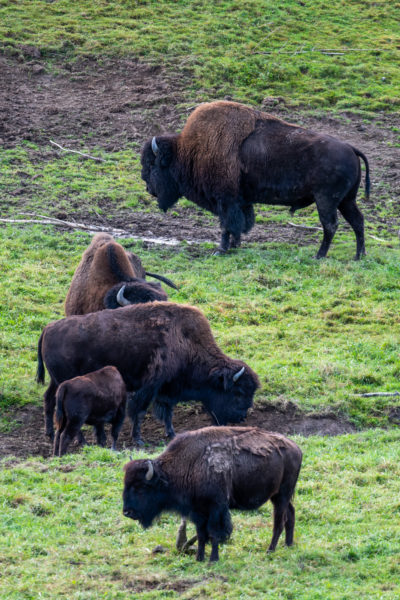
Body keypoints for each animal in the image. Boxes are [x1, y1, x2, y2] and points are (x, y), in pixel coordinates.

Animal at [36, 302, 260, 442]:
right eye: (238, 392)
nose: (241, 418)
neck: (185, 340)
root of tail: (48, 328)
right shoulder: (150, 386)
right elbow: (141, 411)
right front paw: (139, 439)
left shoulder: (166, 388)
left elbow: (167, 411)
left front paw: (171, 434)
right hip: (66, 382)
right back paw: (78, 439)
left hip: (56, 381)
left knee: (48, 399)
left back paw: (49, 433)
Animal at [123, 426, 302, 564]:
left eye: (141, 488)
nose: (127, 512)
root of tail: (296, 448)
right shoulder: (198, 511)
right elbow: (202, 534)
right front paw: (199, 558)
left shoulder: (216, 508)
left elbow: (214, 532)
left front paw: (213, 559)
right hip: (278, 496)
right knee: (290, 513)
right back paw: (288, 545)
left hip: (282, 495)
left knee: (279, 522)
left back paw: (270, 551)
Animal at [142, 100, 370, 258]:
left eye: (153, 165)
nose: (148, 188)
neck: (189, 150)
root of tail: (351, 148)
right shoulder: (241, 202)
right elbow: (239, 224)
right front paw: (235, 246)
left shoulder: (225, 201)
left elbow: (226, 225)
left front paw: (221, 250)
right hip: (346, 200)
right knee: (357, 221)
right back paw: (359, 256)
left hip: (326, 200)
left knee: (330, 225)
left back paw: (319, 256)